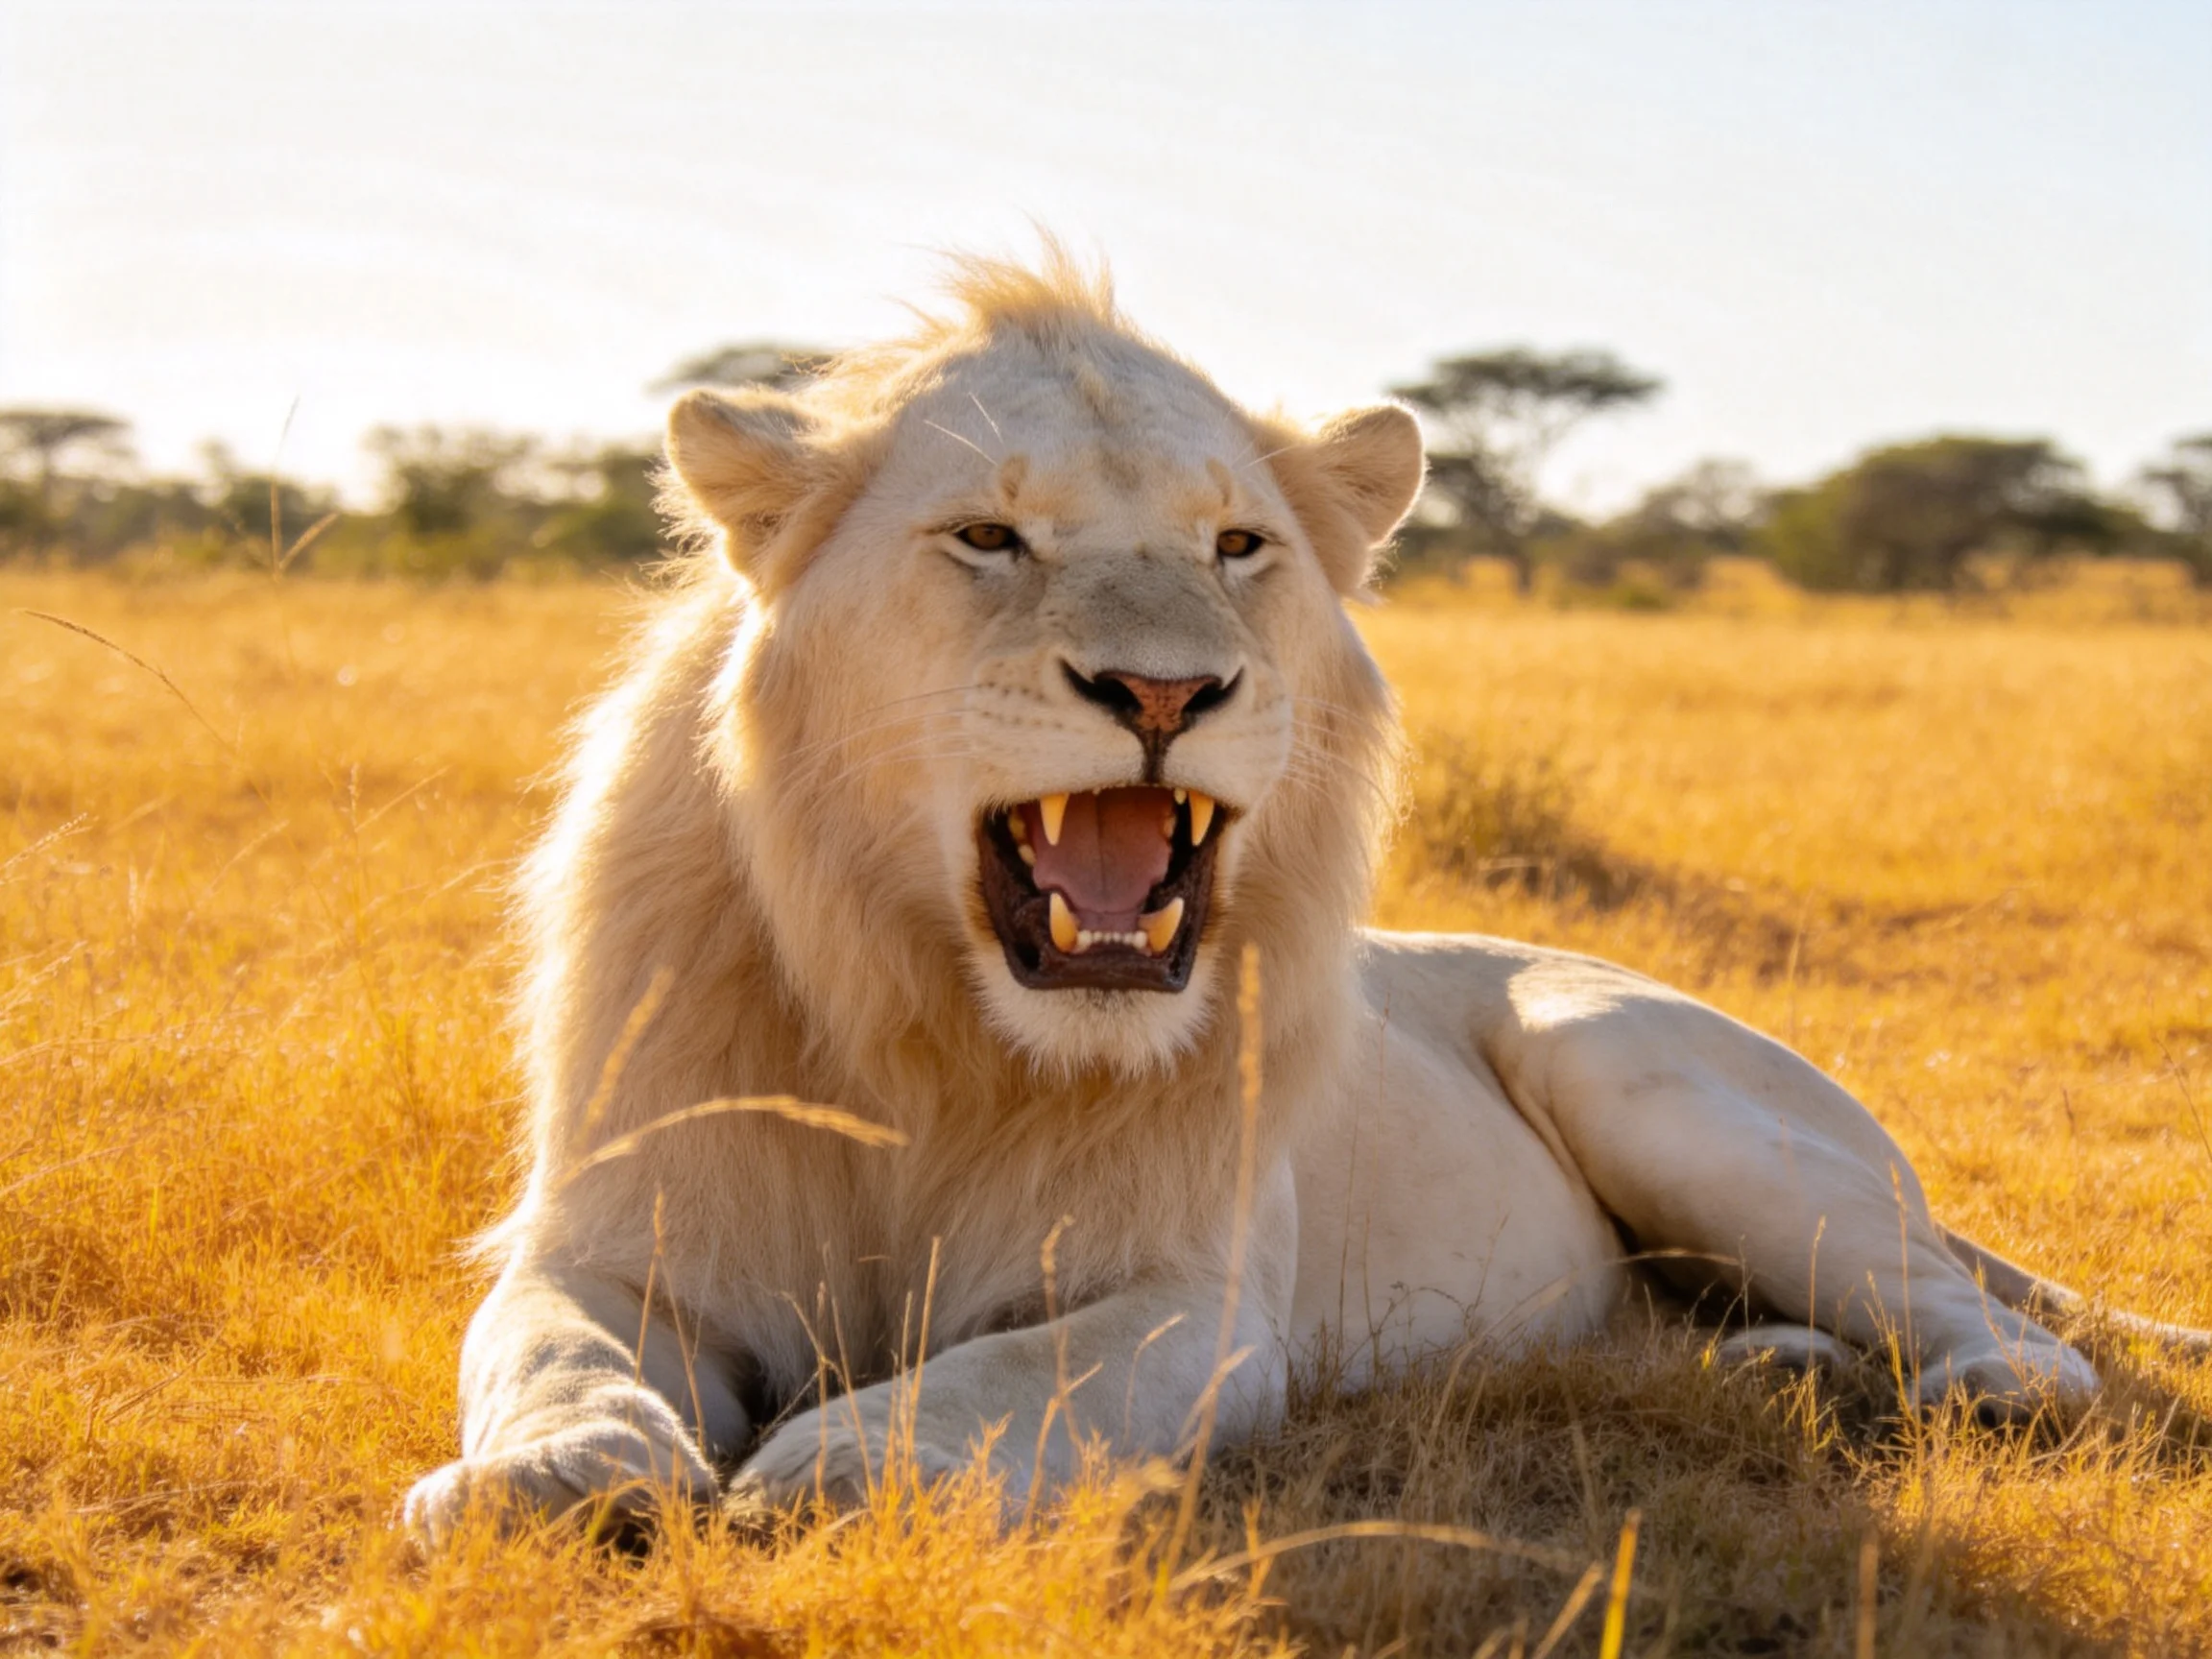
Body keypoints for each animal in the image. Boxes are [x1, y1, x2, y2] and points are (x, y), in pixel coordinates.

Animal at [404, 248, 2206, 1542]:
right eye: (987, 535)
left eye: (1236, 547)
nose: (1160, 690)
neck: (933, 1025)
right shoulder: (625, 1239)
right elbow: (551, 1356)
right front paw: (545, 1478)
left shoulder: (1193, 1306)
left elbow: (1000, 1376)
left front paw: (829, 1466)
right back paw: (1771, 1368)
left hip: (1639, 1069)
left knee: (2015, 1336)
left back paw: (1967, 1392)